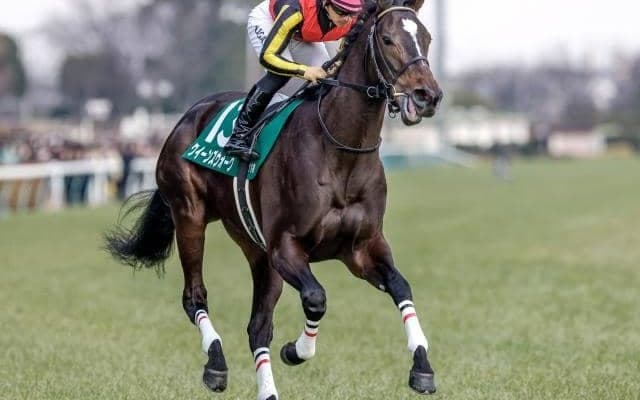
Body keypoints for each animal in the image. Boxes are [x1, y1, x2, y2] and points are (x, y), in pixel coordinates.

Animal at [105, 1, 443, 399]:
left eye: (427, 38)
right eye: (388, 39)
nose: (427, 96)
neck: (341, 151)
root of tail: (187, 117)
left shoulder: (361, 247)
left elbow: (400, 286)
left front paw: (422, 367)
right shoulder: (286, 247)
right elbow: (316, 298)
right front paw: (297, 350)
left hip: (255, 248)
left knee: (257, 327)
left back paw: (266, 390)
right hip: (190, 216)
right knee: (195, 296)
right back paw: (215, 363)